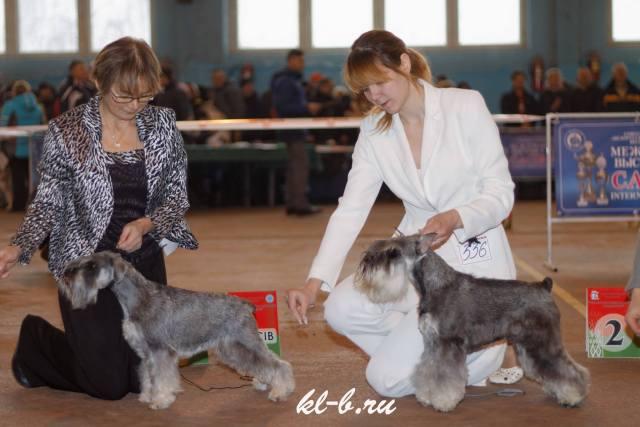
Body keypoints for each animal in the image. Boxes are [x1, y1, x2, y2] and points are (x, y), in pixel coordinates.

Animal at [61, 251, 295, 409]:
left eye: (92, 266)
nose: (67, 274)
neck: (138, 298)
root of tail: (246, 305)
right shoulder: (146, 353)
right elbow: (148, 376)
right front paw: (148, 395)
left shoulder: (160, 350)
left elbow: (162, 377)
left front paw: (160, 400)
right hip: (232, 349)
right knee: (260, 364)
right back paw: (263, 383)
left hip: (245, 341)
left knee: (278, 364)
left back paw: (281, 391)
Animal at [354, 233, 590, 412]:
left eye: (394, 252)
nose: (365, 261)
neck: (436, 286)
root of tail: (544, 286)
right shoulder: (432, 344)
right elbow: (429, 371)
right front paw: (427, 396)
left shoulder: (448, 344)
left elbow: (445, 376)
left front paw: (444, 401)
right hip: (526, 346)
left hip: (542, 342)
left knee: (568, 368)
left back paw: (573, 396)